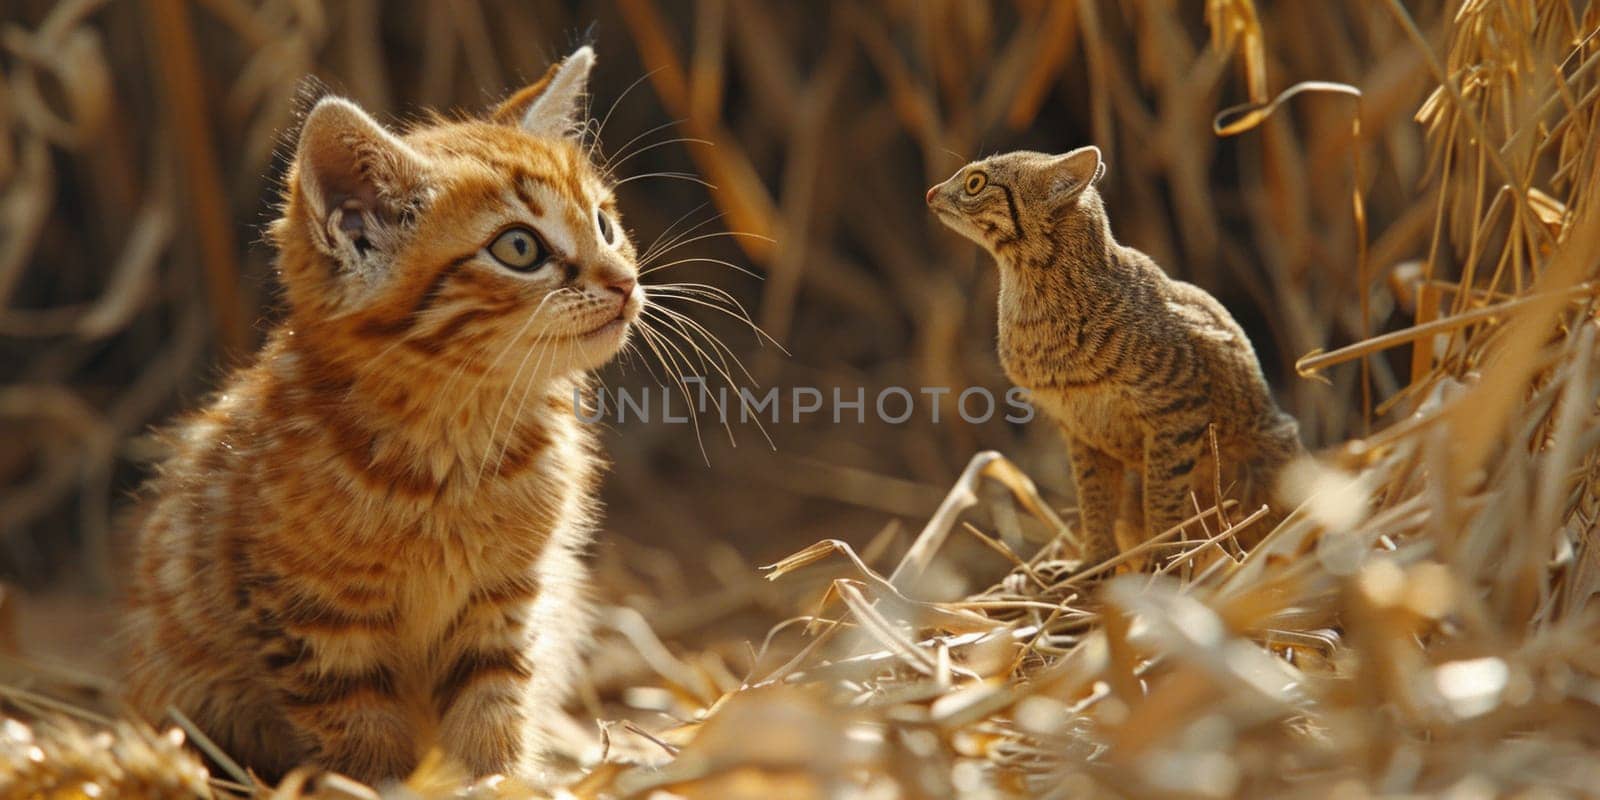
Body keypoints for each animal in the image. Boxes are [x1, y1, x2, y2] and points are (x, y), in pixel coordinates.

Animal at [123, 48, 636, 780]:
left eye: (605, 224)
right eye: (519, 248)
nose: (624, 282)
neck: (455, 447)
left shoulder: (506, 600)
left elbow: (492, 703)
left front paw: (499, 778)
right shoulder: (314, 619)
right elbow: (360, 730)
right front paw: (387, 784)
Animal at [928, 148, 1299, 563]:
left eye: (975, 182)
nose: (930, 192)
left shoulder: (1177, 409)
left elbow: (1163, 500)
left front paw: (1165, 563)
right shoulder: (1077, 428)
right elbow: (1095, 502)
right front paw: (1096, 565)